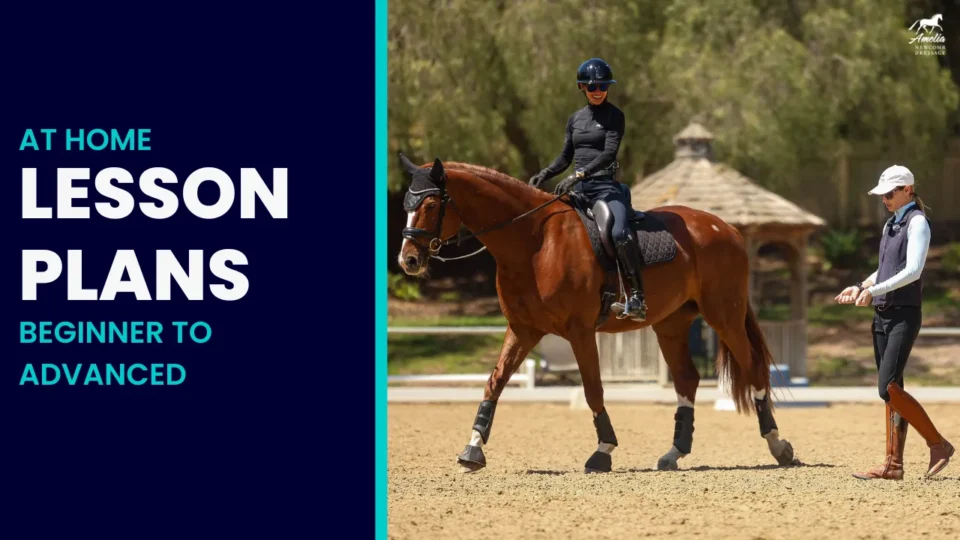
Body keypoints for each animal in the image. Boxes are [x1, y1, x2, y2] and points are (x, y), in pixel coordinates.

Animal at [394, 152, 799, 473]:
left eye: (430, 205)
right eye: (406, 206)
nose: (408, 260)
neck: (533, 241)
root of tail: (726, 227)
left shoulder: (579, 331)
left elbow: (592, 389)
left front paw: (602, 452)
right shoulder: (522, 329)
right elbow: (495, 382)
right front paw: (472, 449)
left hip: (723, 316)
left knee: (753, 367)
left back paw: (779, 446)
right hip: (671, 324)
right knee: (687, 379)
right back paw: (673, 454)